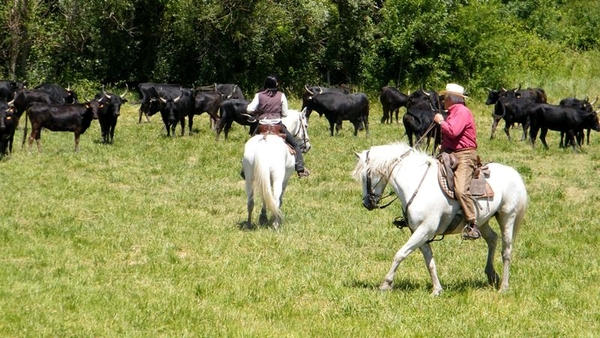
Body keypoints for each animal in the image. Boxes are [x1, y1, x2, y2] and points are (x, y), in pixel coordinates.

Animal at [354, 141, 528, 294]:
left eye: (365, 175)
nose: (367, 203)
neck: (416, 184)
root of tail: (514, 173)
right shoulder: (419, 232)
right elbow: (429, 261)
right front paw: (437, 289)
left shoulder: (425, 230)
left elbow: (400, 254)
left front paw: (386, 284)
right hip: (483, 220)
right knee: (492, 239)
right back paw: (491, 275)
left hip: (507, 217)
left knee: (506, 250)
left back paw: (504, 287)